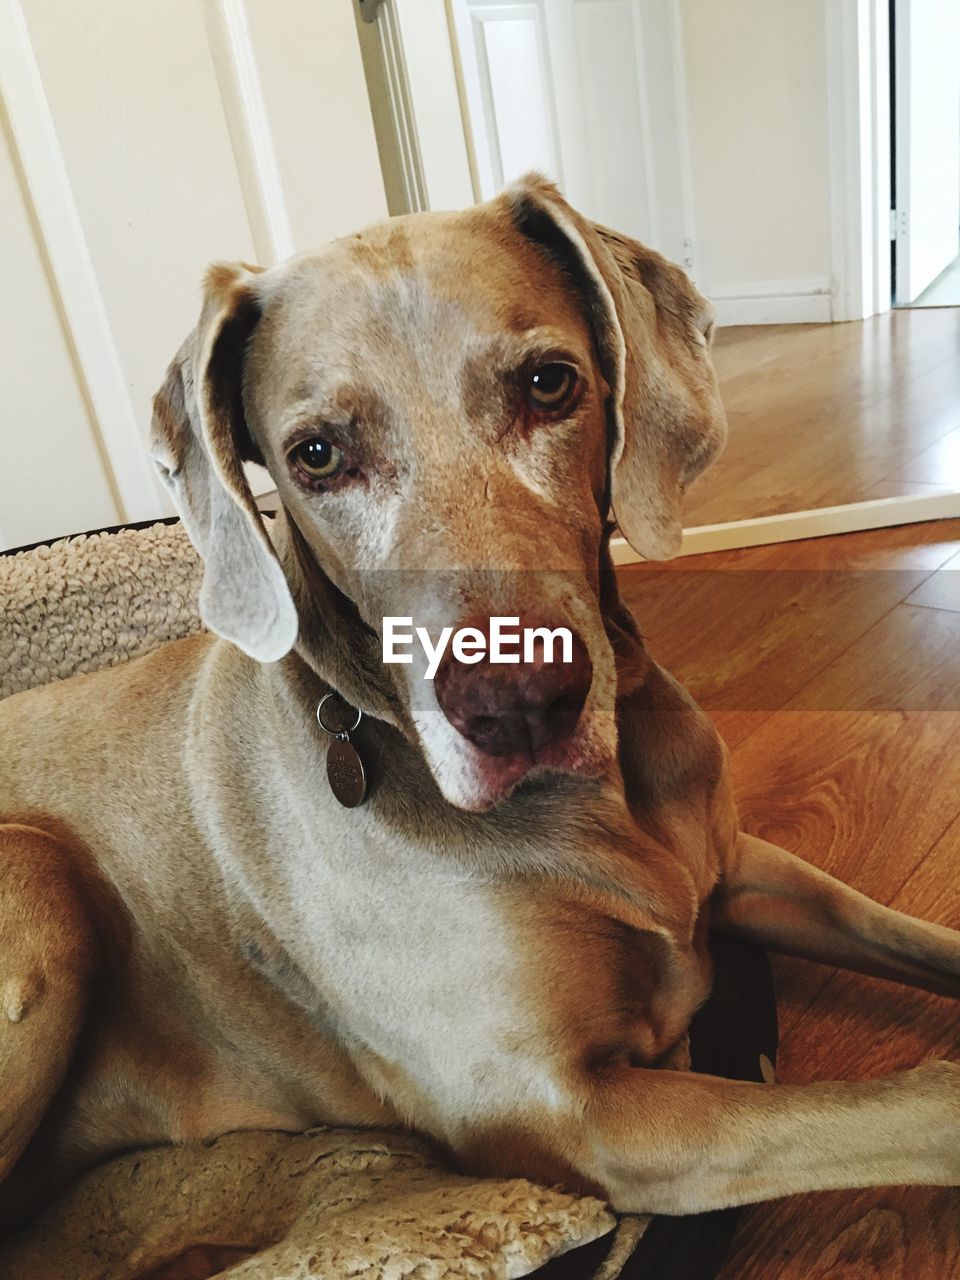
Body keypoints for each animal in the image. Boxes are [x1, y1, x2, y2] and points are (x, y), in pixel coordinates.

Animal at [1, 175, 960, 1233]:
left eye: (549, 384)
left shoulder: (745, 868)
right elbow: (918, 1103)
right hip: (36, 877)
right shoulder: (561, 1114)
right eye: (317, 454)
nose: (520, 704)